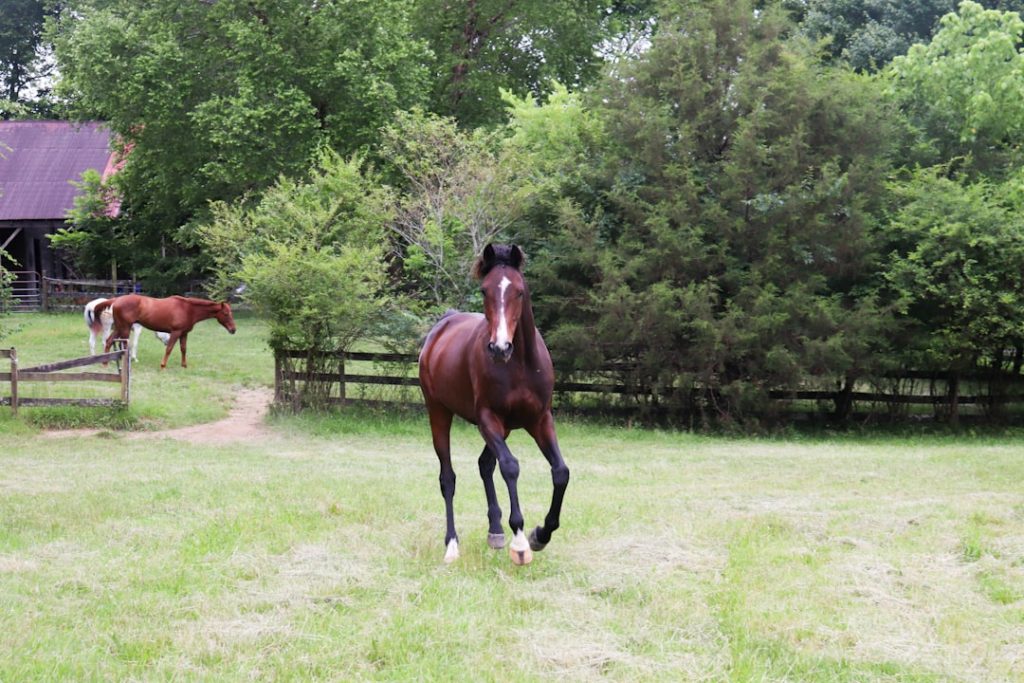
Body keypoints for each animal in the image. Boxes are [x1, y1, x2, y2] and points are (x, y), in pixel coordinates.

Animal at [94, 294, 236, 369]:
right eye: (226, 313)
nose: (233, 329)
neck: (188, 309)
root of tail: (117, 299)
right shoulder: (176, 332)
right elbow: (169, 348)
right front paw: (163, 365)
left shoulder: (184, 333)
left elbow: (183, 349)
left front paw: (184, 365)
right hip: (125, 328)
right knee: (123, 344)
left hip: (119, 327)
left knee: (109, 341)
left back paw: (105, 363)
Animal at [418, 244, 570, 565]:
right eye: (485, 290)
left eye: (520, 291)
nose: (500, 348)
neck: (520, 365)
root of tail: (443, 326)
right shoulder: (489, 418)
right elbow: (510, 467)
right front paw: (521, 542)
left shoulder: (540, 419)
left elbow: (561, 472)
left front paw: (541, 535)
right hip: (439, 413)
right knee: (448, 477)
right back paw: (452, 545)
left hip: (505, 428)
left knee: (485, 464)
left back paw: (495, 531)